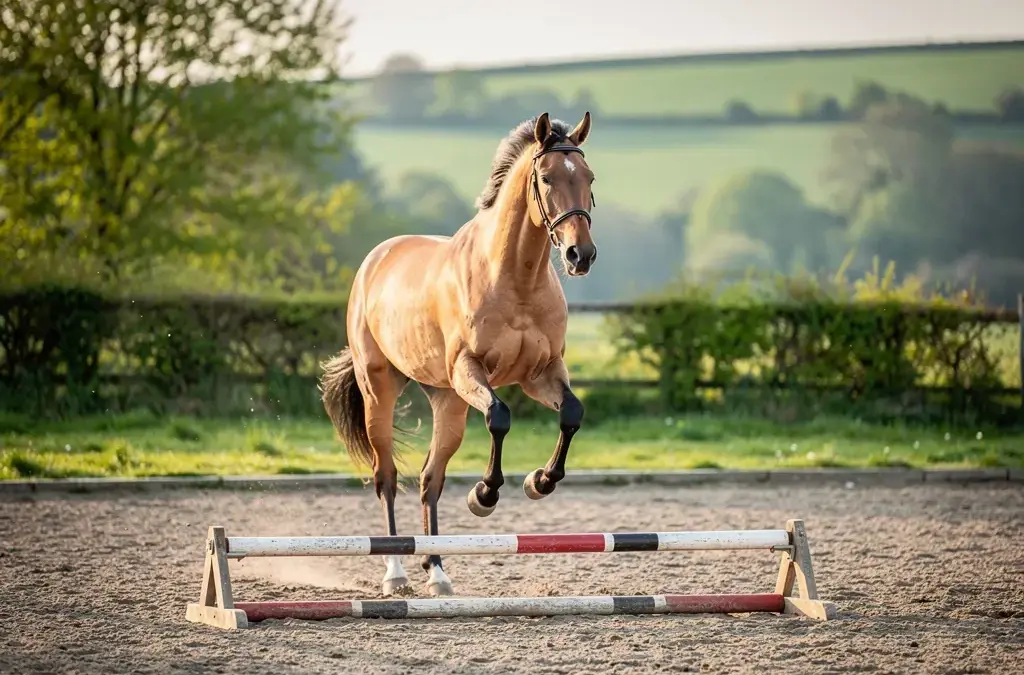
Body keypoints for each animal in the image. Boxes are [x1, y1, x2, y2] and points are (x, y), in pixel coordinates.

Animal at [320, 111, 598, 597]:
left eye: (588, 178)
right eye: (546, 178)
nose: (579, 255)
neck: (515, 277)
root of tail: (375, 260)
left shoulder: (541, 373)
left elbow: (571, 413)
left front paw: (539, 482)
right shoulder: (472, 371)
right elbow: (500, 417)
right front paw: (484, 495)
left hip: (447, 399)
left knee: (430, 479)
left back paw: (437, 572)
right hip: (381, 391)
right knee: (386, 476)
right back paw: (396, 573)